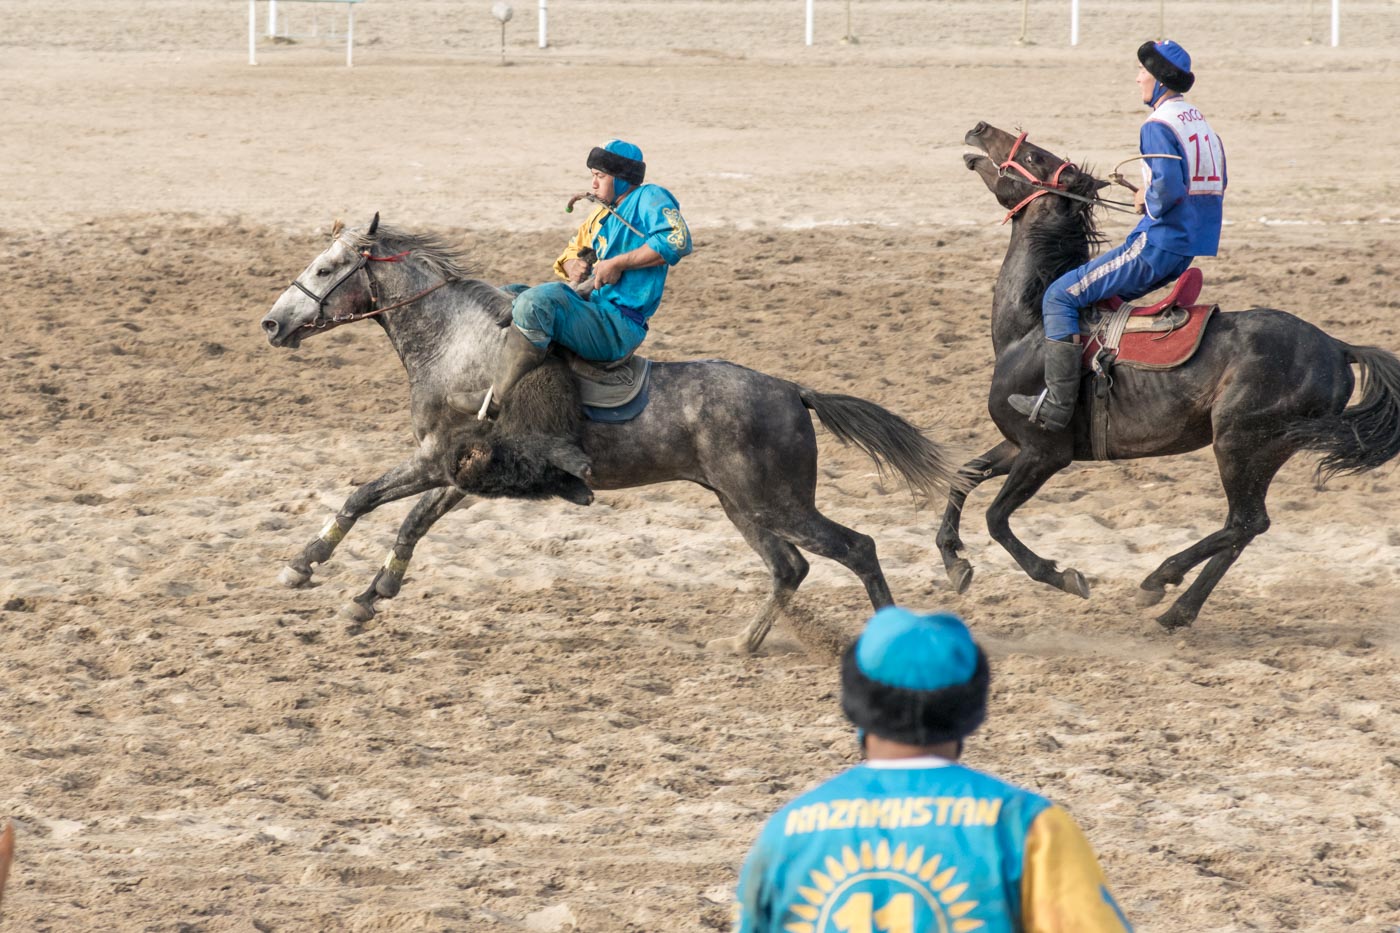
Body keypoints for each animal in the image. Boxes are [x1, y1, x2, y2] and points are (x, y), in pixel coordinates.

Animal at [260, 218, 963, 652]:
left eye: (326, 269)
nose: (271, 324)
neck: (461, 346)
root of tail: (793, 390)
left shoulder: (436, 459)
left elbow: (372, 500)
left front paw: (315, 569)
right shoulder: (460, 473)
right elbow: (403, 519)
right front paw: (358, 590)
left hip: (776, 503)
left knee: (858, 549)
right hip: (742, 507)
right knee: (790, 568)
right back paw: (743, 643)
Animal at [940, 121, 1400, 624]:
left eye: (1037, 158)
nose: (979, 128)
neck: (1031, 327)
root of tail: (1337, 347)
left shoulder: (1045, 453)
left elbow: (996, 519)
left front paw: (1061, 576)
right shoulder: (1017, 444)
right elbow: (963, 475)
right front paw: (954, 560)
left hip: (1240, 442)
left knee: (1246, 521)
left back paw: (1159, 579)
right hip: (1263, 451)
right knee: (1243, 527)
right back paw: (1177, 609)